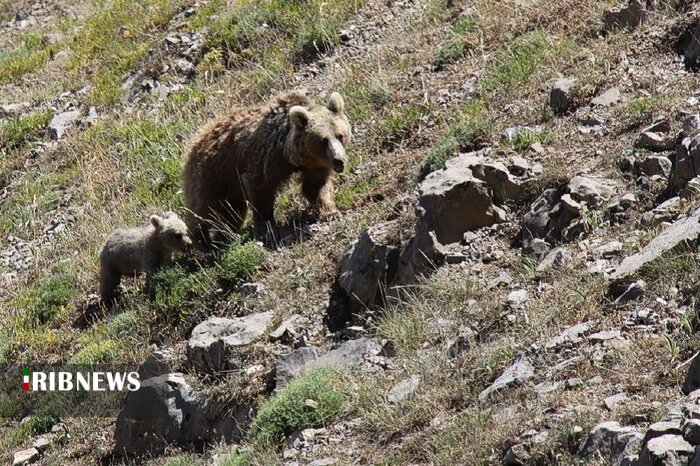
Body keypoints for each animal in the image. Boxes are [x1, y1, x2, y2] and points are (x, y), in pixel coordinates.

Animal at [183, 90, 352, 248]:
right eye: (323, 140)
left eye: (340, 135)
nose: (339, 160)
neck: (290, 154)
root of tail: (198, 137)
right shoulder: (267, 156)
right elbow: (260, 186)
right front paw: (266, 224)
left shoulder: (315, 166)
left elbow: (316, 187)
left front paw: (330, 212)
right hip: (211, 174)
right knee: (203, 210)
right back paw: (202, 241)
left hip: (229, 187)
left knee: (232, 213)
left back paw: (224, 237)